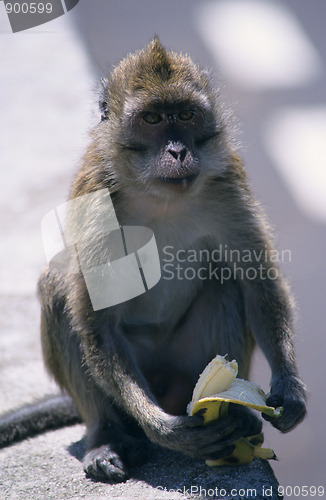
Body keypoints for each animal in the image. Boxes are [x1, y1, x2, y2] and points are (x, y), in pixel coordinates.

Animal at [0, 39, 306, 484]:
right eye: (152, 119)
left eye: (186, 115)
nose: (178, 151)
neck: (159, 196)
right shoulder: (98, 196)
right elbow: (96, 319)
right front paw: (163, 429)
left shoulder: (226, 185)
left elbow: (256, 280)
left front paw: (289, 386)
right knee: (57, 288)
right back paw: (108, 435)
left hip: (183, 364)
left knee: (225, 282)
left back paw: (235, 419)